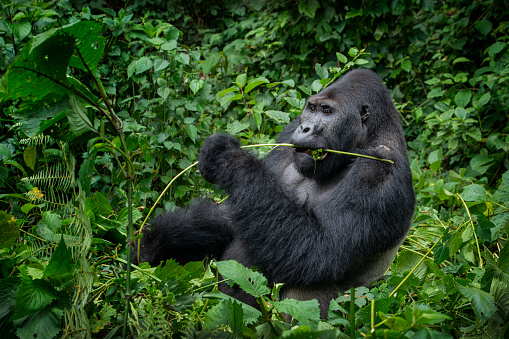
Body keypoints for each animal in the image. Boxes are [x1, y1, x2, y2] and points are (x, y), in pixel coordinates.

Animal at [133, 69, 414, 318]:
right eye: (311, 109)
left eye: (327, 112)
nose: (305, 129)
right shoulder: (287, 135)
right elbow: (232, 218)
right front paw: (154, 244)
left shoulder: (381, 166)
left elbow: (320, 249)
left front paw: (228, 159)